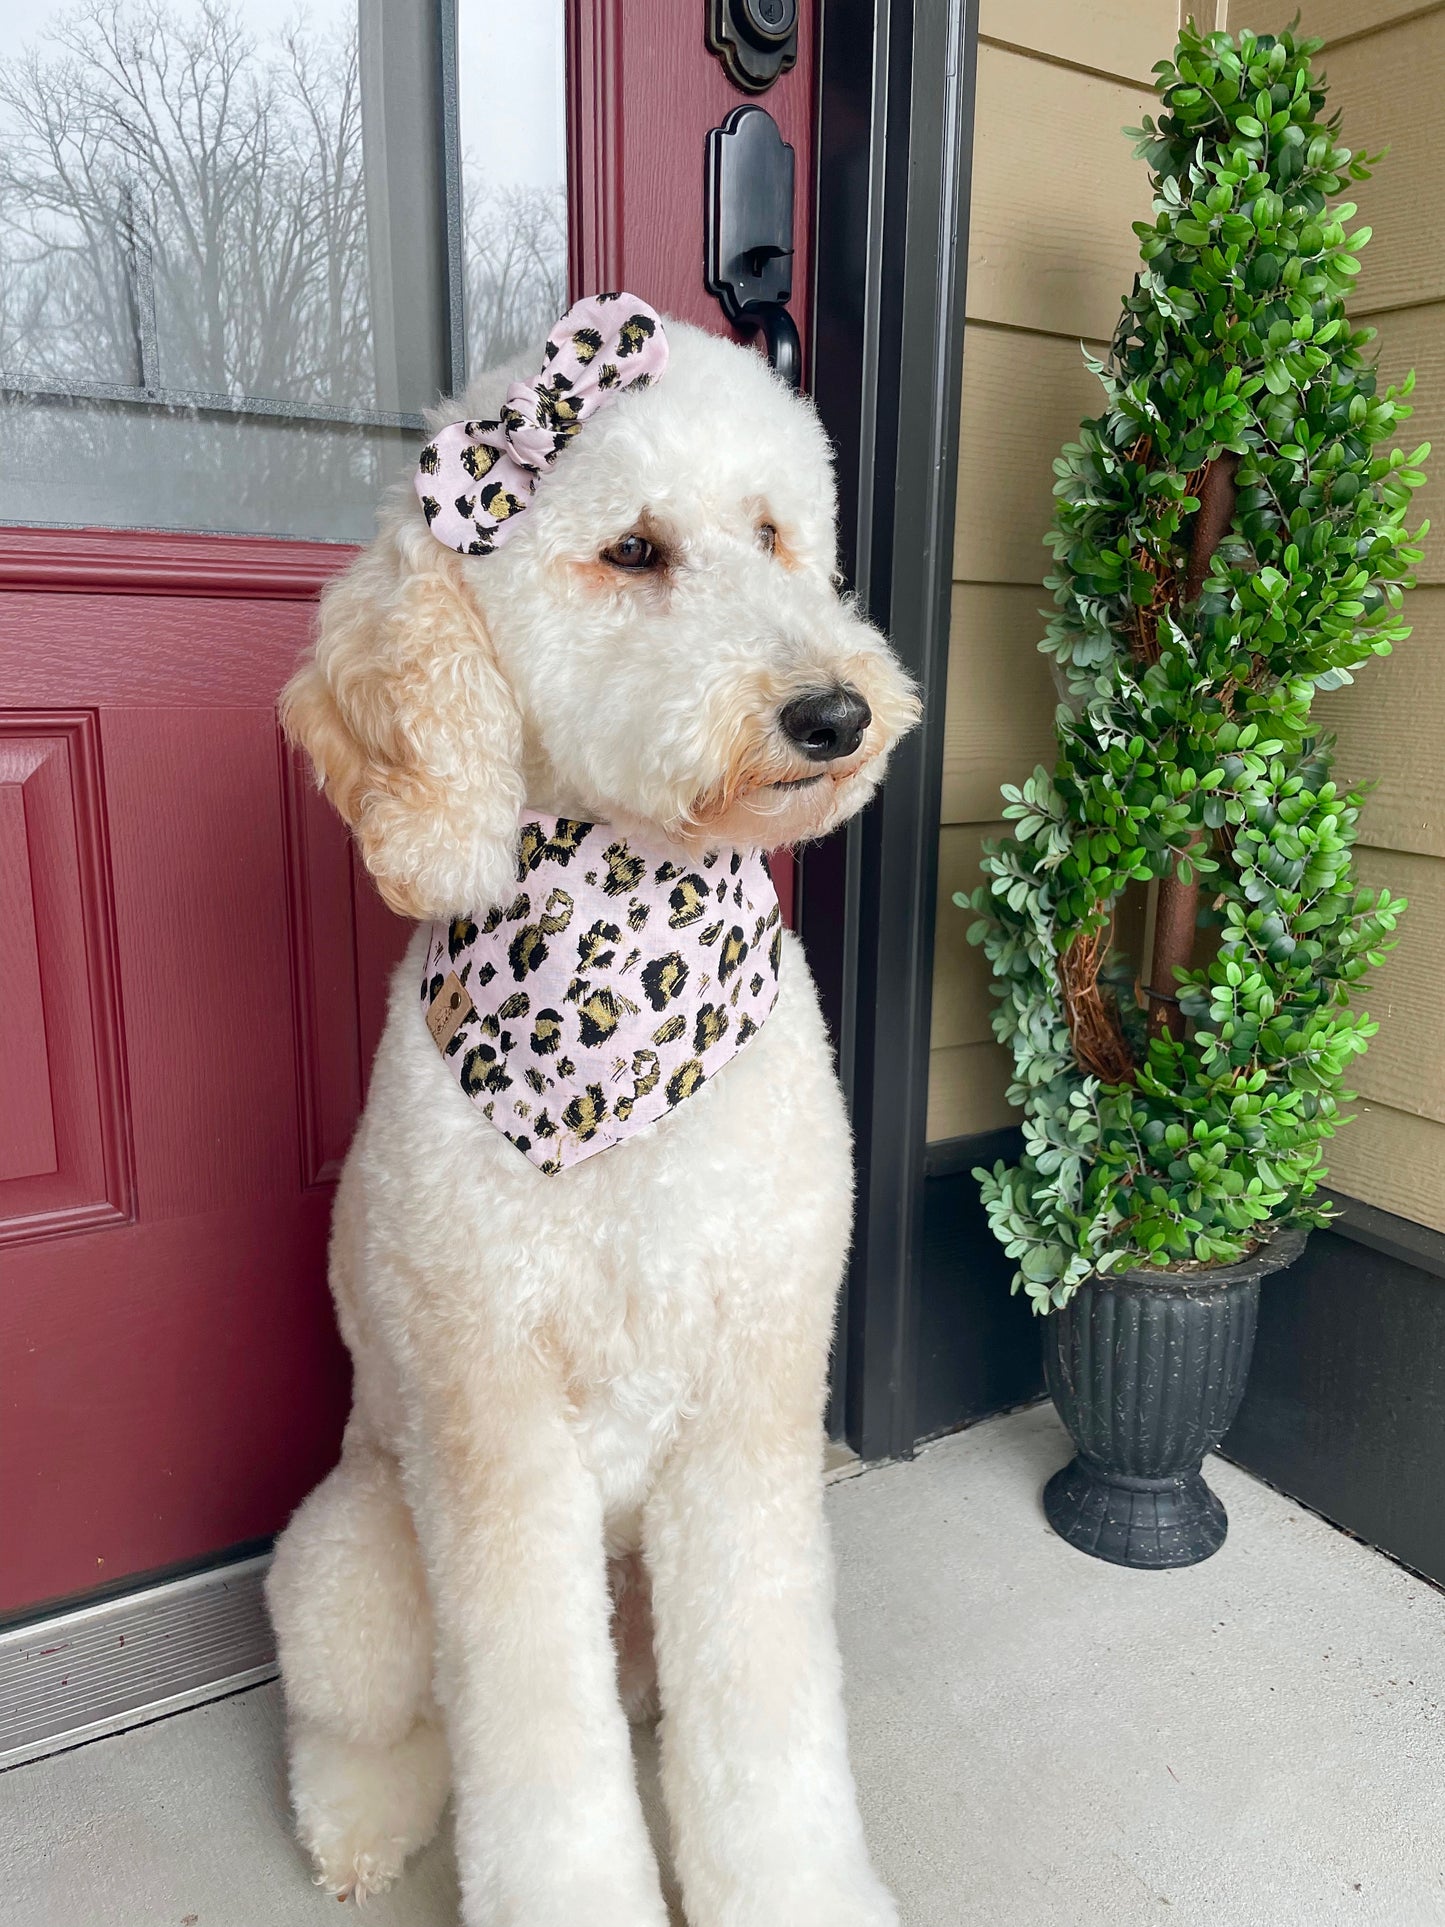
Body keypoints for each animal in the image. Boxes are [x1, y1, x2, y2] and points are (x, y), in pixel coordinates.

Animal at [267, 308, 920, 1927]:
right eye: (632, 550)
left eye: (775, 532)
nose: (834, 714)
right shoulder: (496, 1437)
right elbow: (531, 1740)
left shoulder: (752, 1407)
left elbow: (761, 1712)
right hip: (351, 1563)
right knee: (372, 1721)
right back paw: (358, 1829)